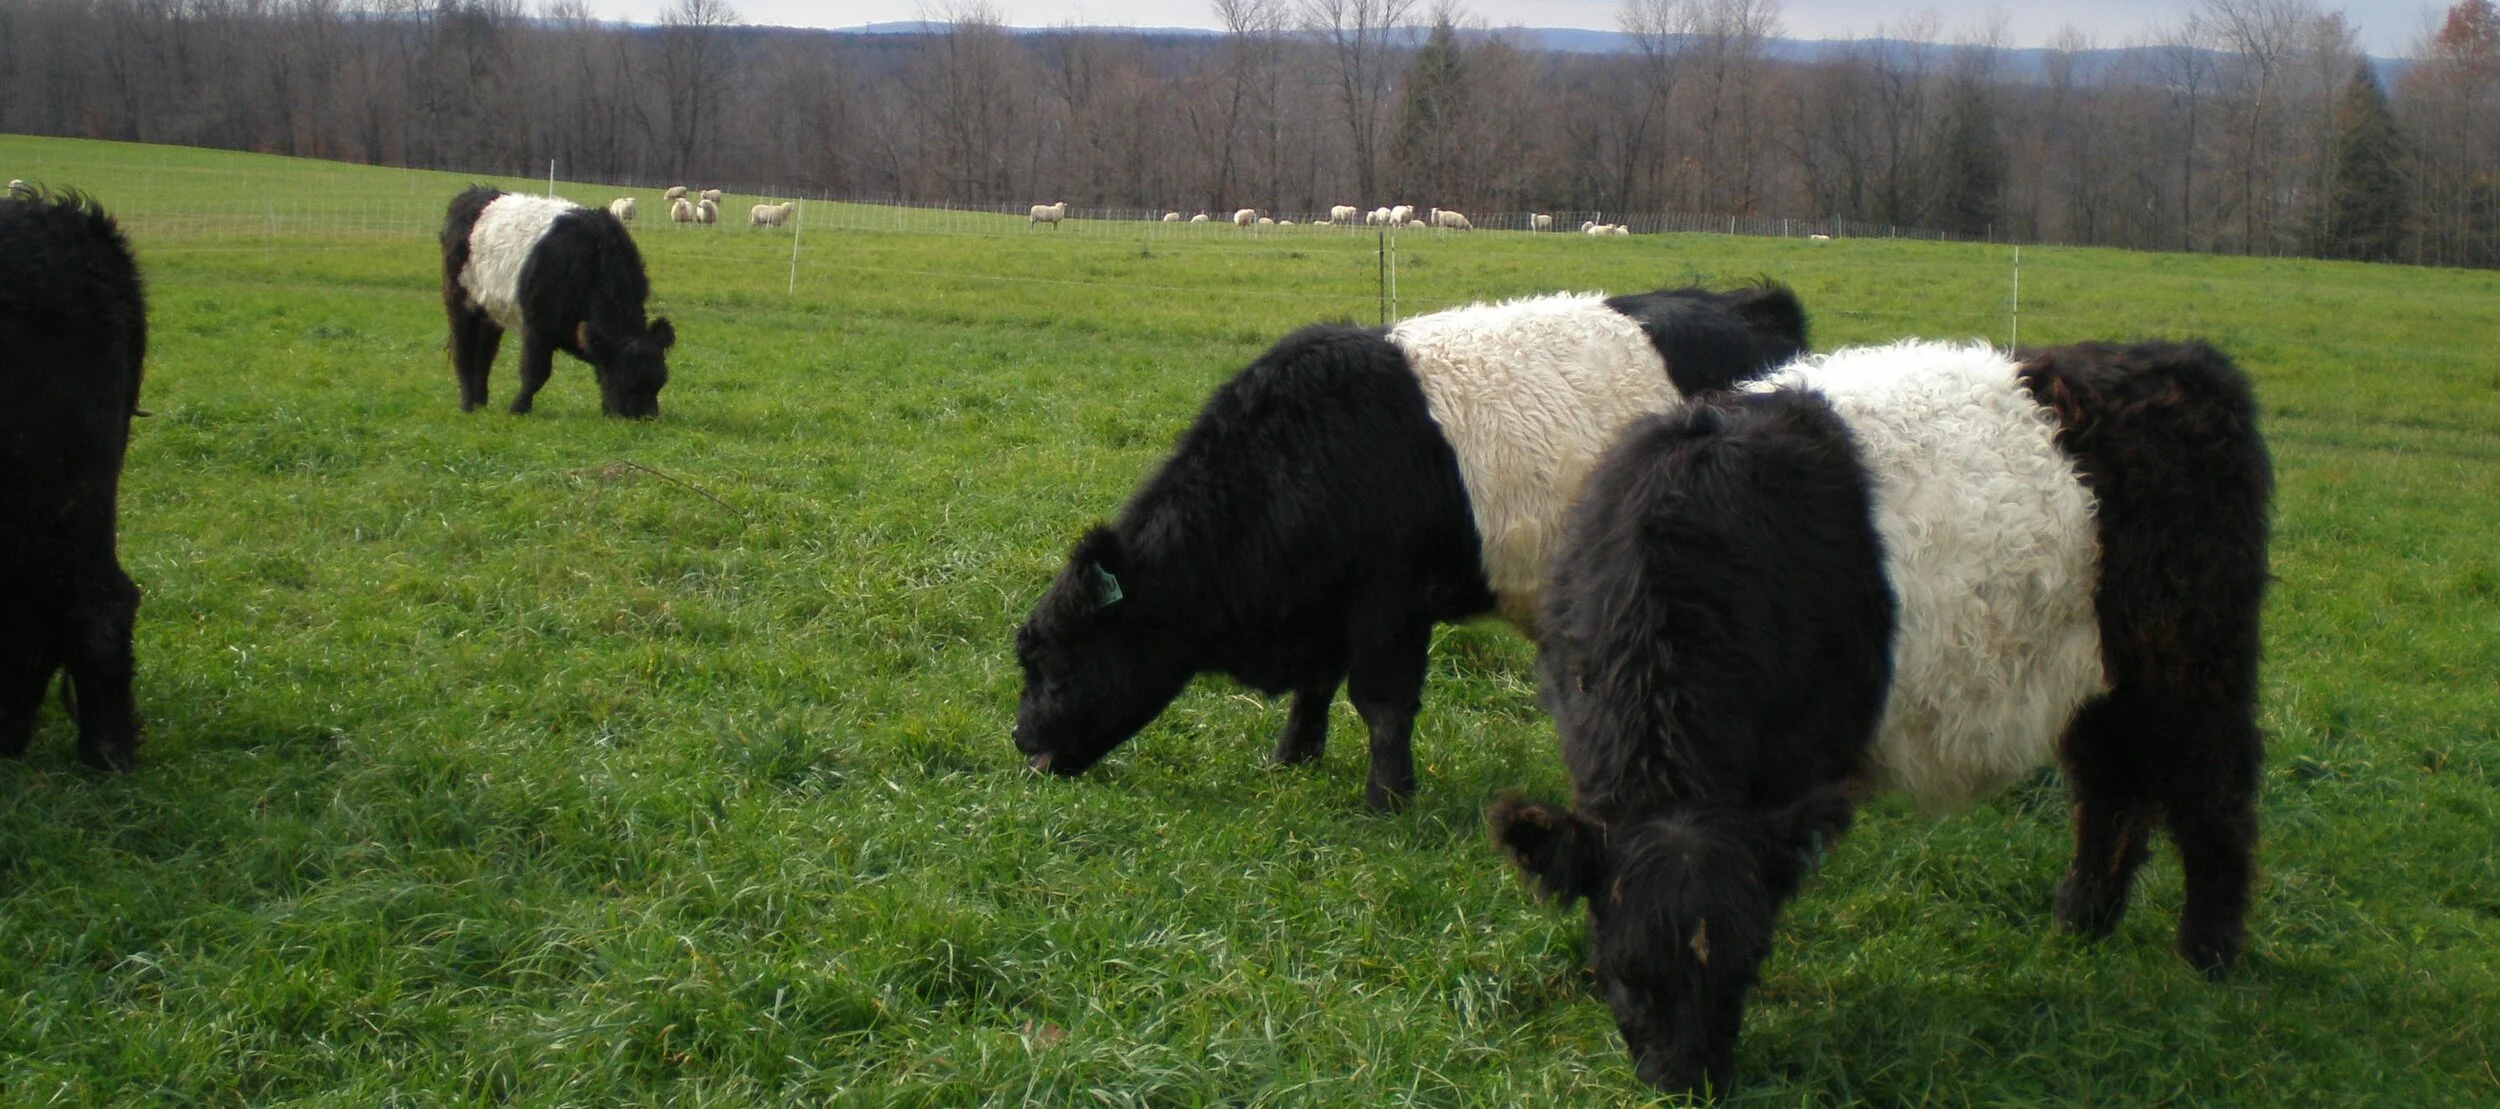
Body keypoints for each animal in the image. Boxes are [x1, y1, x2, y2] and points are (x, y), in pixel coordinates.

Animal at [440, 187, 675, 418]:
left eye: (660, 382)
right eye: (625, 382)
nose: (646, 418)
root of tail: (473, 193)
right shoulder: (537, 326)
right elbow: (536, 373)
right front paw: (518, 408)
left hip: (491, 310)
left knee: (485, 353)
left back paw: (480, 402)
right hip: (460, 300)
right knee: (463, 350)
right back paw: (468, 404)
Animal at [1013, 283, 1809, 811]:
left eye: (1056, 663)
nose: (1020, 739)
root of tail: (1752, 303)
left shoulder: (1391, 605)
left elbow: (1382, 702)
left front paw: (1387, 800)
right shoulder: (1328, 612)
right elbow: (1314, 689)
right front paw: (1291, 759)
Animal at [1493, 339, 2272, 1097]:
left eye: (1748, 963)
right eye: (1623, 969)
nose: (1687, 1086)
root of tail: (2188, 361)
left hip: (2196, 665)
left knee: (2214, 797)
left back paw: (2207, 955)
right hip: (2099, 684)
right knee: (2113, 791)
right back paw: (2081, 924)